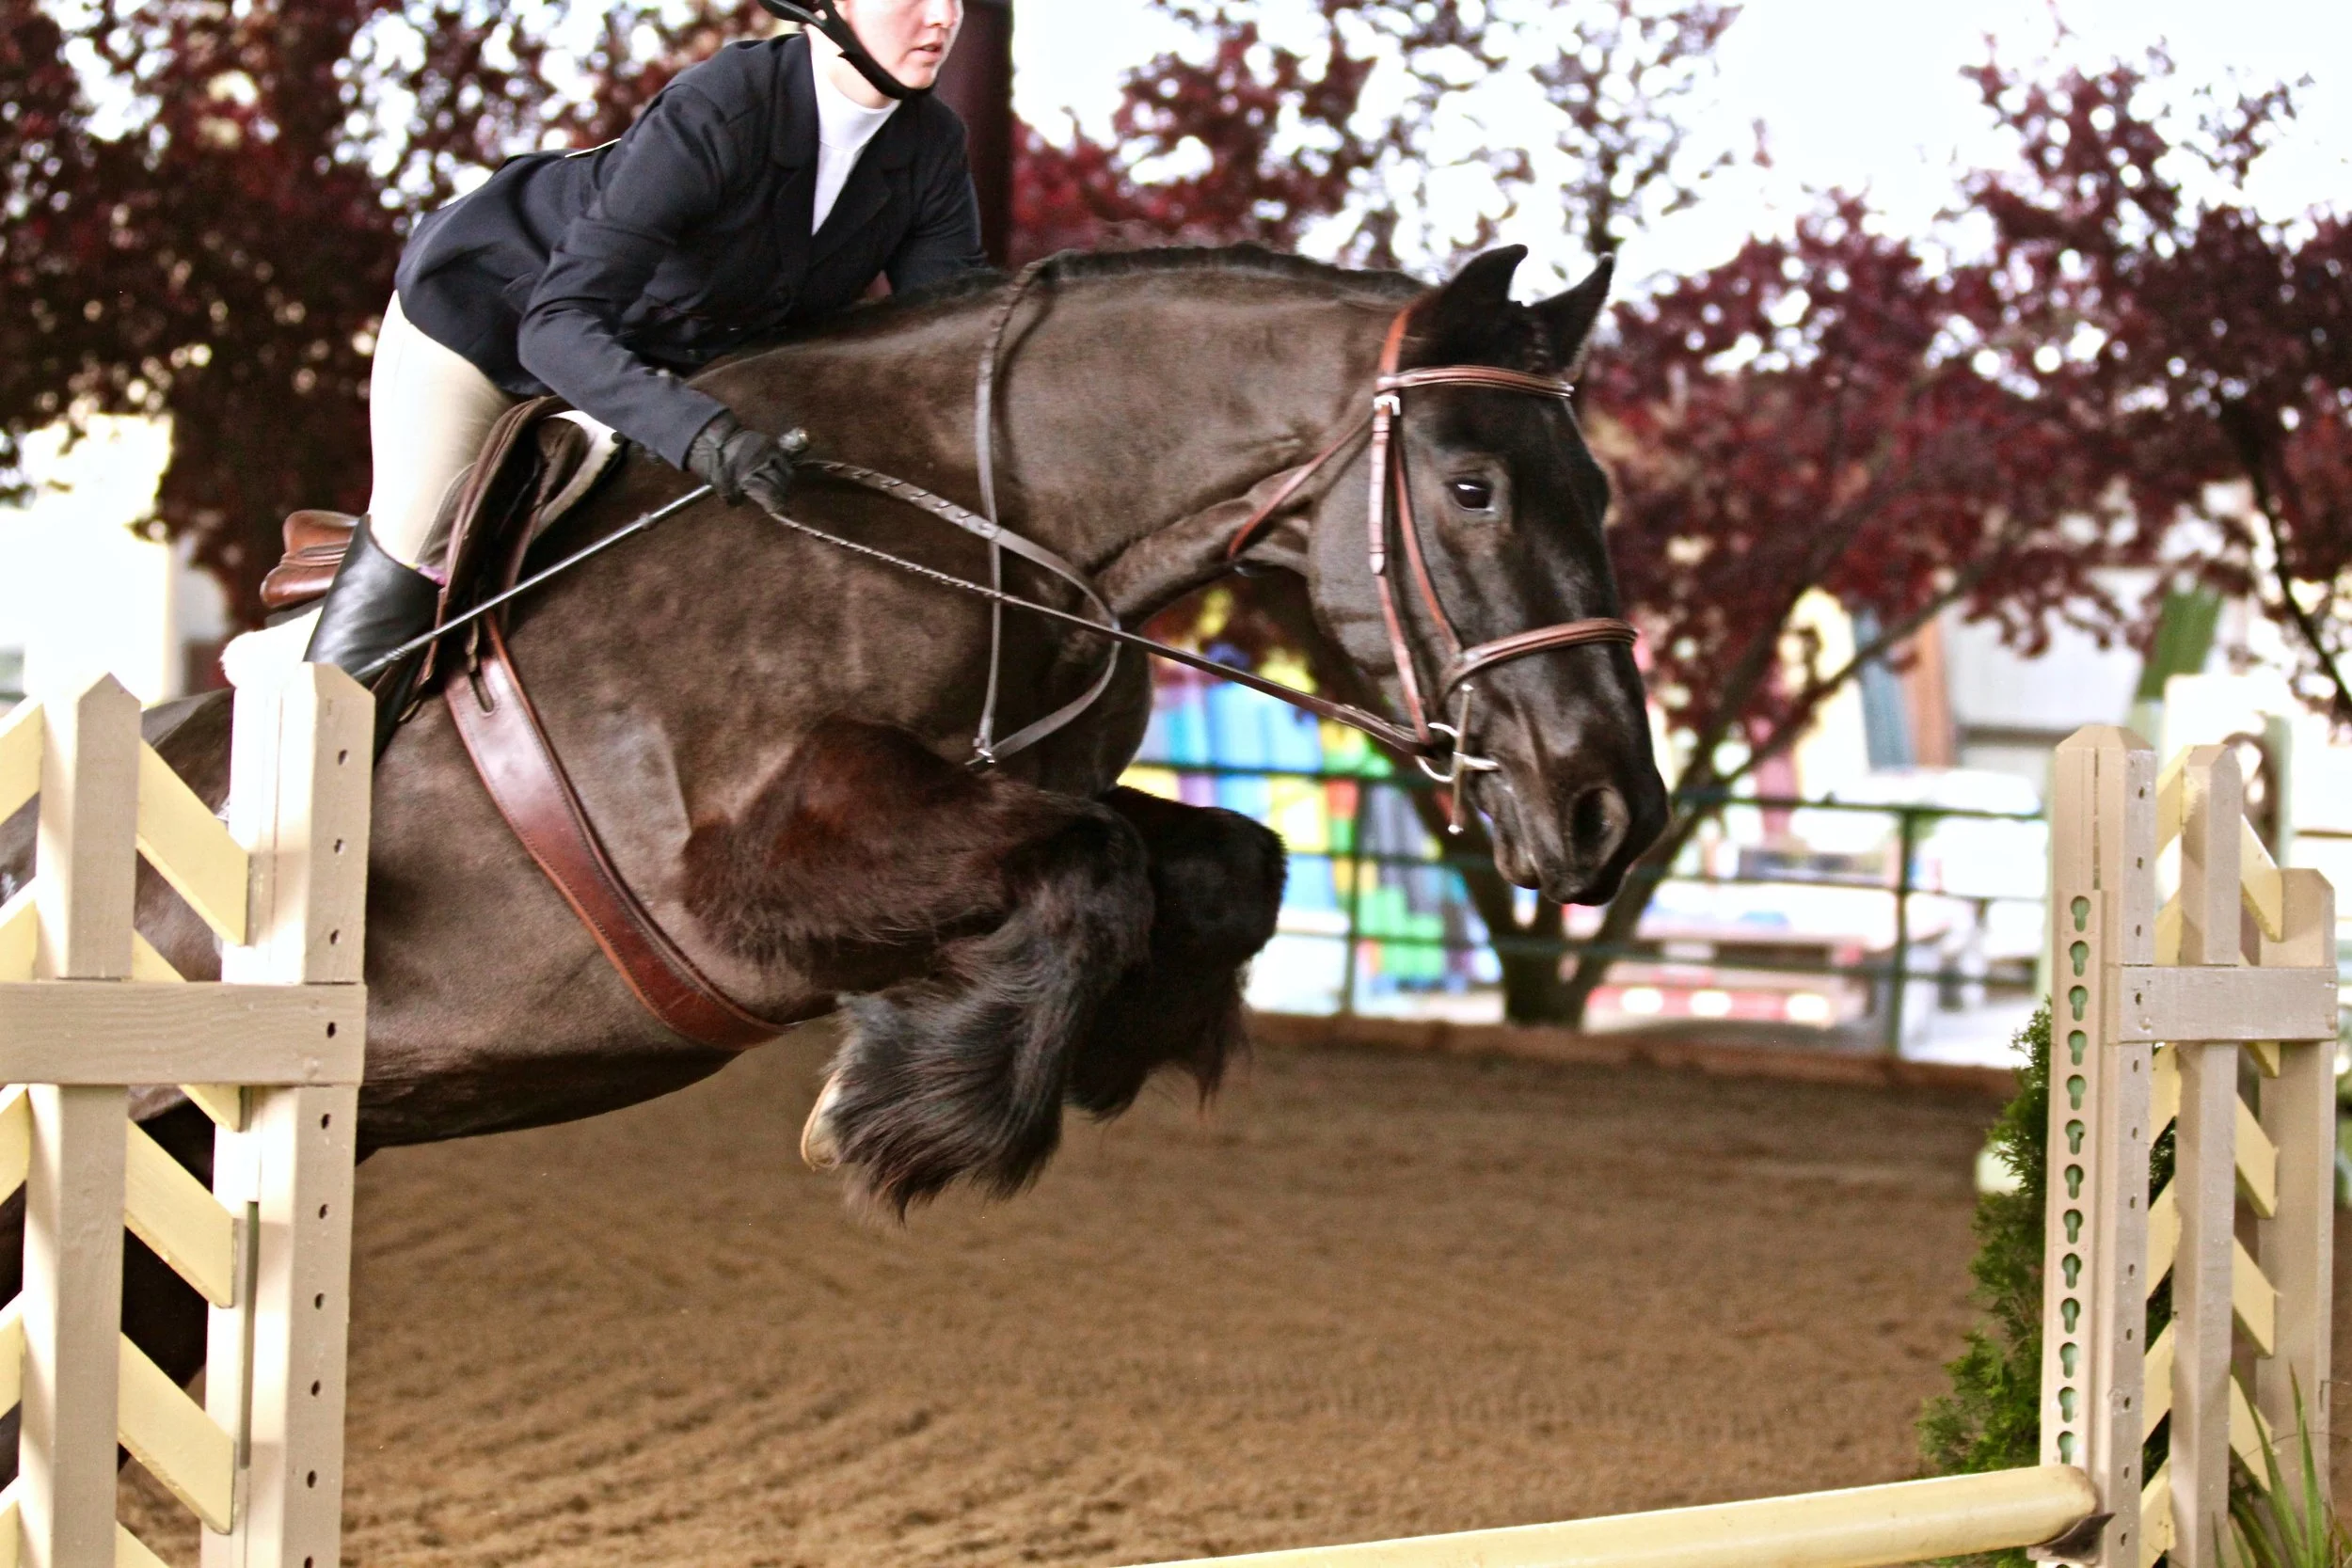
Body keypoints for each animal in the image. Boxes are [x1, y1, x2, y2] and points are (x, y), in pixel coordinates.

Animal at [0, 242, 1666, 1421]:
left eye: (1598, 486)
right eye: (1473, 485)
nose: (1612, 809)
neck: (978, 518)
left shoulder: (1001, 797)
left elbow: (1217, 867)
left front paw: (1082, 1050)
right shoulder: (739, 876)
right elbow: (1093, 873)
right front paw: (901, 1110)